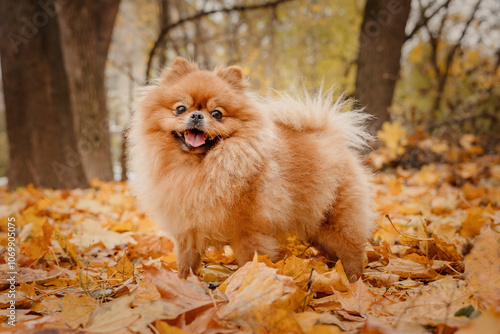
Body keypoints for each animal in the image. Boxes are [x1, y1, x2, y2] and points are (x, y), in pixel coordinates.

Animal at [129, 57, 376, 282]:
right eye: (180, 109)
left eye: (217, 113)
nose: (197, 115)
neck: (199, 167)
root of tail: (330, 135)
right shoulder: (187, 230)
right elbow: (187, 262)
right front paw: (183, 284)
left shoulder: (248, 233)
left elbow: (251, 262)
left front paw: (247, 284)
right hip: (315, 228)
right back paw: (334, 273)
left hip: (338, 220)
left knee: (352, 250)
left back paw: (354, 280)